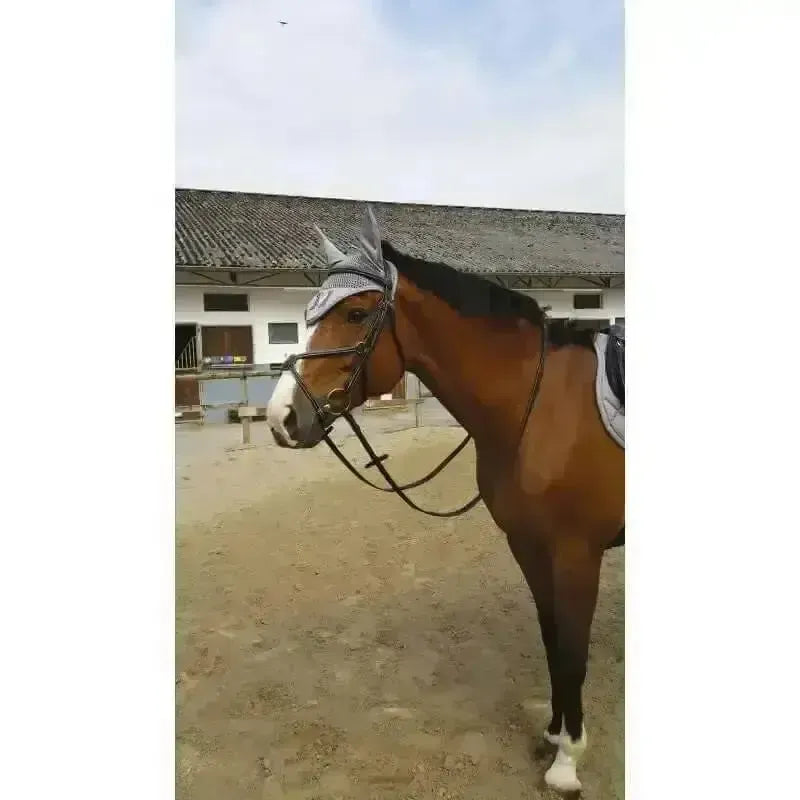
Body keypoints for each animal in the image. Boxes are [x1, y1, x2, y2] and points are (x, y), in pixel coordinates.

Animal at [266, 207, 625, 793]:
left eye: (356, 313)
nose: (281, 418)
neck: (540, 404)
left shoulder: (576, 553)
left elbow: (572, 651)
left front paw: (567, 762)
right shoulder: (529, 547)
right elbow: (551, 639)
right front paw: (552, 735)